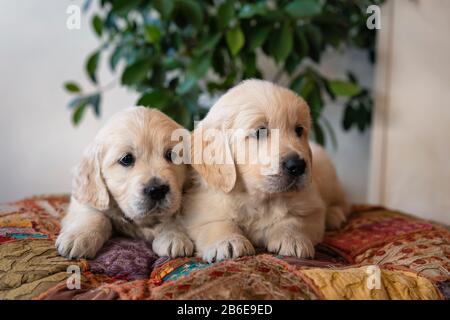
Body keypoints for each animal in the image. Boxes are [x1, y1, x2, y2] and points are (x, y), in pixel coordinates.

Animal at [55, 107, 192, 260]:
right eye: (126, 159)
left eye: (171, 155)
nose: (157, 190)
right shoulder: (87, 196)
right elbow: (94, 214)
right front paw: (80, 237)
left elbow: (175, 216)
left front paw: (174, 236)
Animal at [182, 79, 348, 262]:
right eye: (260, 131)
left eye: (299, 130)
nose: (297, 165)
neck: (259, 199)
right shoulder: (201, 209)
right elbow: (216, 223)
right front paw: (228, 241)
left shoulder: (310, 208)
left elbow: (294, 220)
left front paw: (291, 239)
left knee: (343, 201)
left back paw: (334, 215)